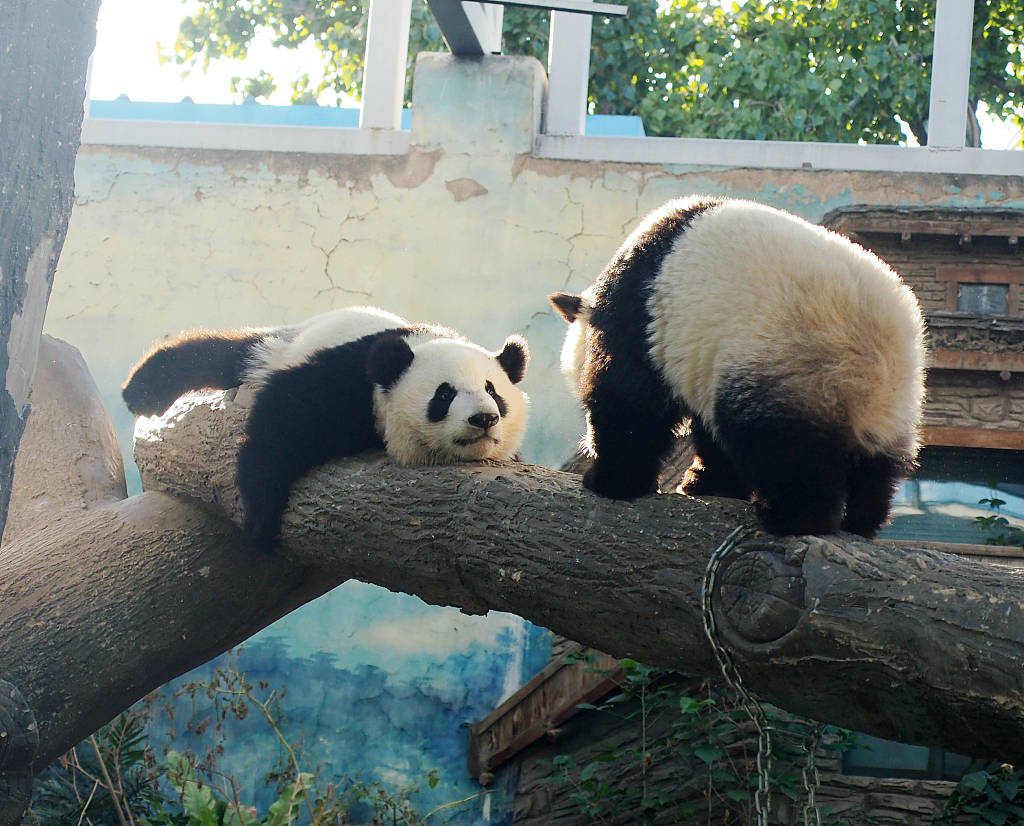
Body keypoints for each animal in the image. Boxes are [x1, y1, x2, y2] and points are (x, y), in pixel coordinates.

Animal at [123, 307, 532, 552]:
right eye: (444, 394)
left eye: (492, 391)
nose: (483, 418)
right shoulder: (347, 379)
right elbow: (282, 423)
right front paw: (260, 523)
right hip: (282, 348)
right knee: (224, 352)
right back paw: (141, 391)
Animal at [552, 197, 929, 540]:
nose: (586, 446)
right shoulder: (701, 356)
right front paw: (707, 483)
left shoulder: (641, 319)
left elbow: (631, 403)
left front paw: (609, 480)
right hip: (891, 401)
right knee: (876, 469)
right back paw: (862, 522)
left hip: (791, 362)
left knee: (782, 450)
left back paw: (790, 518)